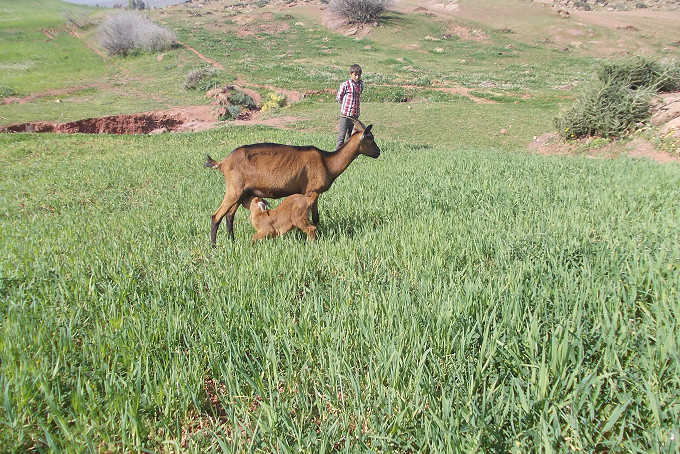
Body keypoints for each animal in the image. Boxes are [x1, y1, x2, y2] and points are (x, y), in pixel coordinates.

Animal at [205, 119, 380, 245]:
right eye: (370, 137)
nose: (378, 152)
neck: (327, 162)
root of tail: (222, 163)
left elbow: (315, 217)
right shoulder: (311, 191)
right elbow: (315, 218)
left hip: (242, 193)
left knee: (229, 215)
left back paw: (232, 241)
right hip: (234, 191)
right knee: (216, 216)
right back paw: (214, 246)